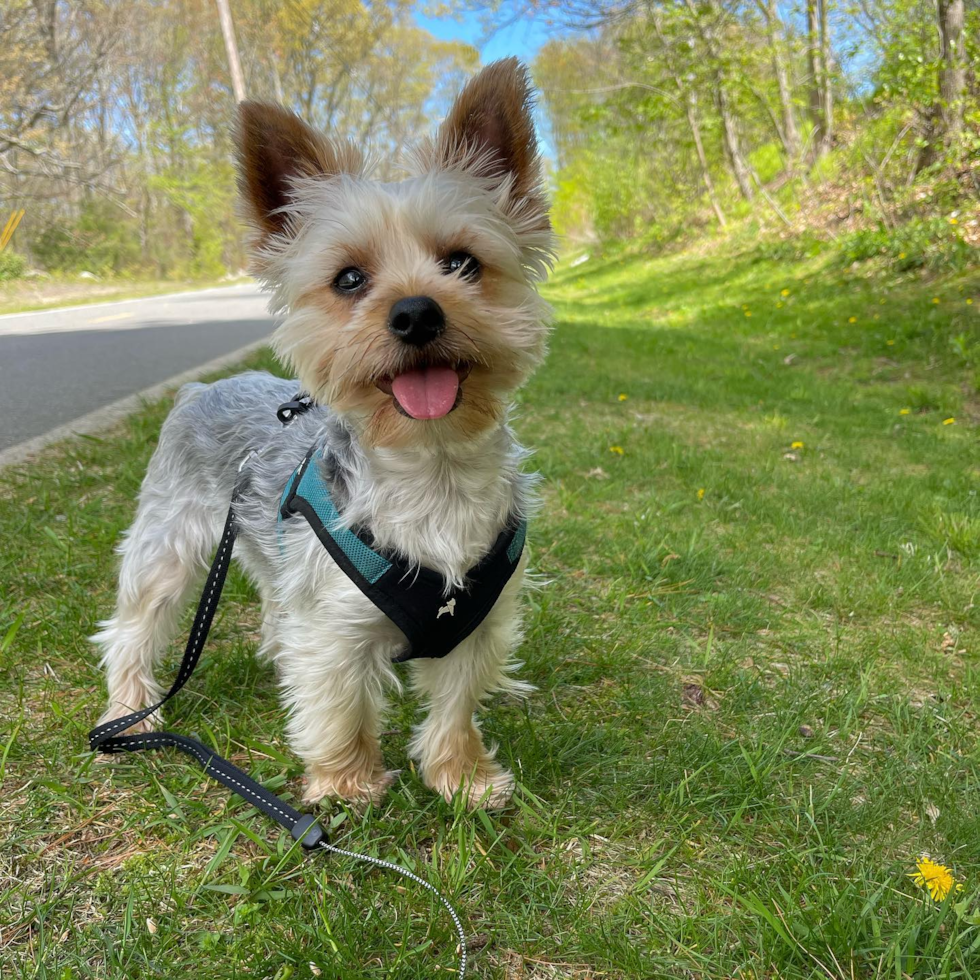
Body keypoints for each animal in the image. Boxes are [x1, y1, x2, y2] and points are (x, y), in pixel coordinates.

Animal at [94, 61, 556, 812]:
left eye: (462, 263)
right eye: (348, 278)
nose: (416, 313)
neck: (432, 469)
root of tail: (201, 387)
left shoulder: (477, 622)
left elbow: (456, 704)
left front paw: (462, 776)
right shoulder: (333, 622)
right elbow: (337, 700)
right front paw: (346, 784)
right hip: (169, 540)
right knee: (133, 626)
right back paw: (127, 710)